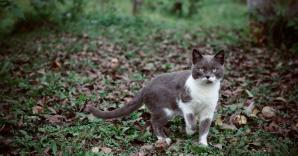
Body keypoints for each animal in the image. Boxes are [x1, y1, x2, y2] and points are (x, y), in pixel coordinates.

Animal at [84, 48, 224, 146]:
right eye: (201, 69)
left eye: (214, 69)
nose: (207, 76)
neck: (205, 91)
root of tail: (145, 87)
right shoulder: (185, 102)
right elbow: (191, 120)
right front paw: (189, 132)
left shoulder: (208, 111)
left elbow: (205, 128)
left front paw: (203, 144)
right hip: (165, 109)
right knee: (154, 121)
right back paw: (163, 139)